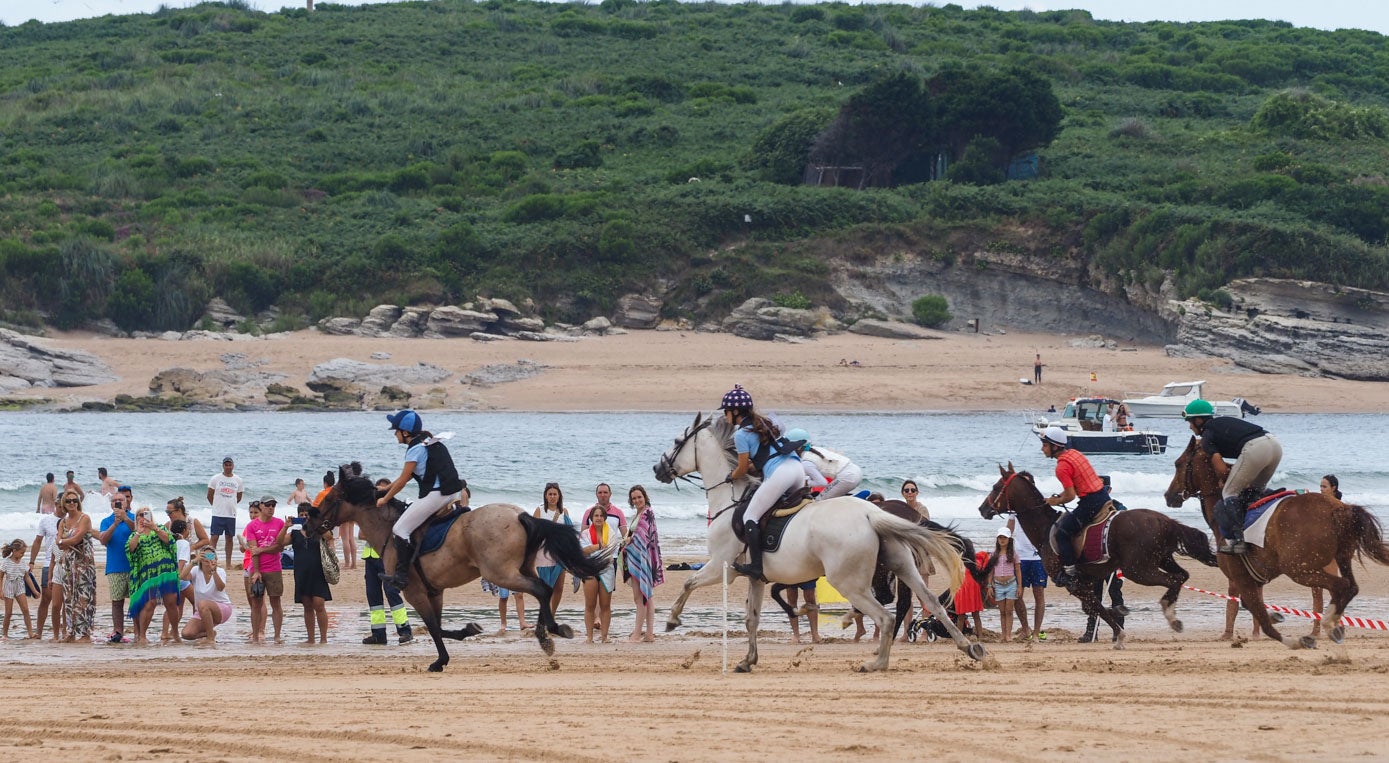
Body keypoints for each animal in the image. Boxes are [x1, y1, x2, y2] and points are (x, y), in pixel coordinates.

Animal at [315, 461, 608, 669]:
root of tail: (520, 514)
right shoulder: (435, 592)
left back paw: (549, 634)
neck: (389, 530)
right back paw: (547, 633)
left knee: (541, 590)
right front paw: (466, 632)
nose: (309, 524)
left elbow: (434, 627)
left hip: (500, 573)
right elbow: (438, 626)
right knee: (542, 589)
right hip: (522, 568)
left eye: (328, 499)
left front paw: (440, 661)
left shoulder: (414, 592)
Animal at [652, 411, 988, 672]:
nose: (658, 469)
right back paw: (970, 648)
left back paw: (875, 662)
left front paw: (671, 620)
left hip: (848, 580)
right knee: (931, 601)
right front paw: (748, 660)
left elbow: (689, 583)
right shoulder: (756, 577)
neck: (729, 499)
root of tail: (871, 514)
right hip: (900, 563)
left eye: (677, 442)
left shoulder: (723, 566)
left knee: (885, 615)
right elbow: (751, 618)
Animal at [977, 461, 1216, 644]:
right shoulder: (1088, 579)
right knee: (1182, 575)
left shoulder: (1075, 584)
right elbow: (1094, 608)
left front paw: (1118, 632)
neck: (1046, 529)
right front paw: (1114, 621)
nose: (982, 508)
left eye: (996, 486)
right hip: (1162, 559)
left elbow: (1098, 608)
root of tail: (1163, 520)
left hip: (1138, 569)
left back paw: (1170, 614)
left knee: (1173, 580)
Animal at [1161, 436, 1389, 644]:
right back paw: (1333, 624)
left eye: (1178, 463)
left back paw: (1327, 623)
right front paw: (1275, 615)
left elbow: (1257, 612)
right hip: (1340, 558)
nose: (1168, 495)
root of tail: (1339, 508)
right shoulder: (1252, 579)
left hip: (1298, 569)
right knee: (1351, 587)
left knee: (1340, 586)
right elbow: (1252, 606)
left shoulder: (1241, 578)